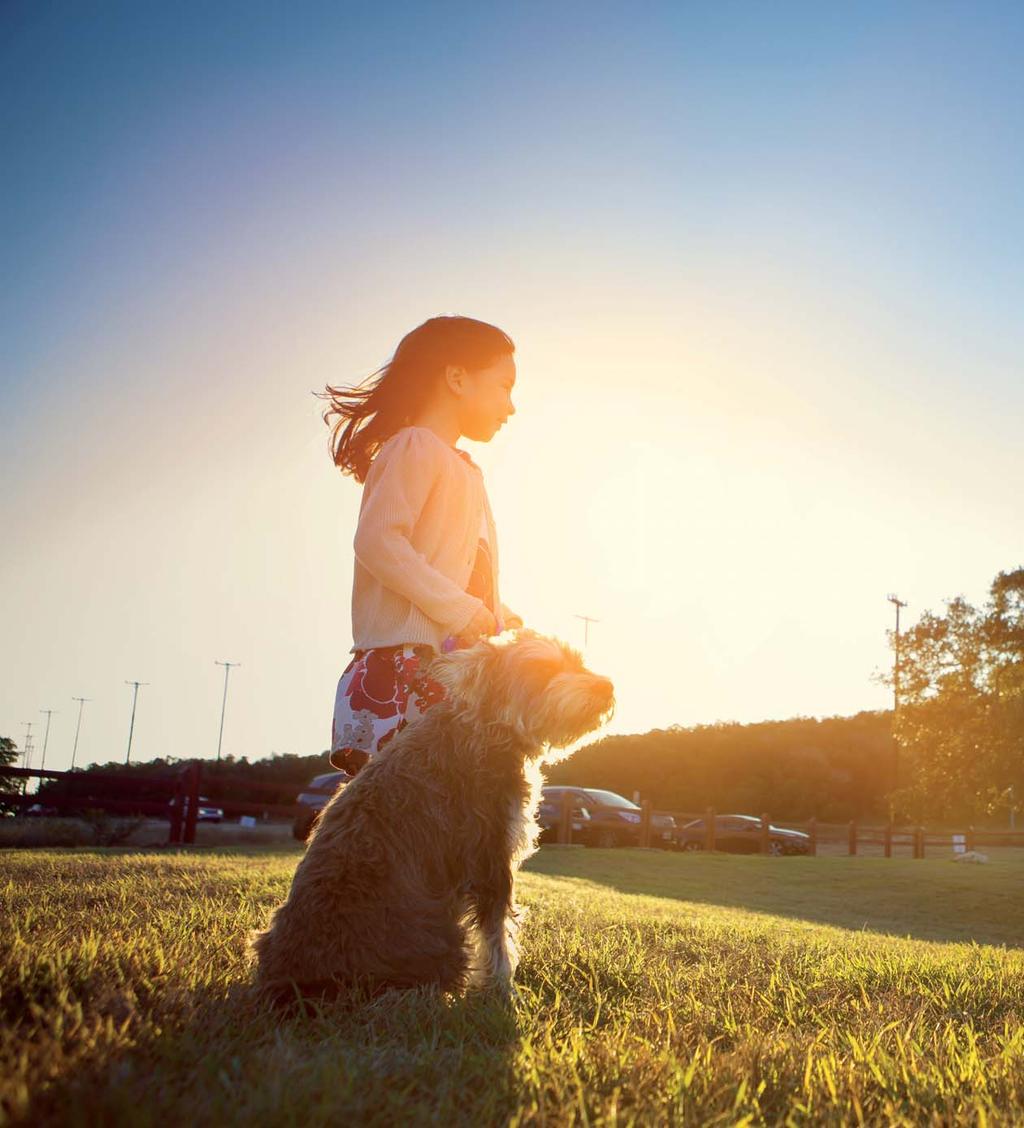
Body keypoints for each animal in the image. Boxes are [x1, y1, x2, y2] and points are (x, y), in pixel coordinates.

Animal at [251, 627, 613, 1006]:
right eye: (543, 669)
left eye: (578, 661)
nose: (606, 688)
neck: (486, 727)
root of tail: (286, 982)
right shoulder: (490, 855)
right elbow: (497, 934)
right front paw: (505, 991)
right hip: (442, 938)